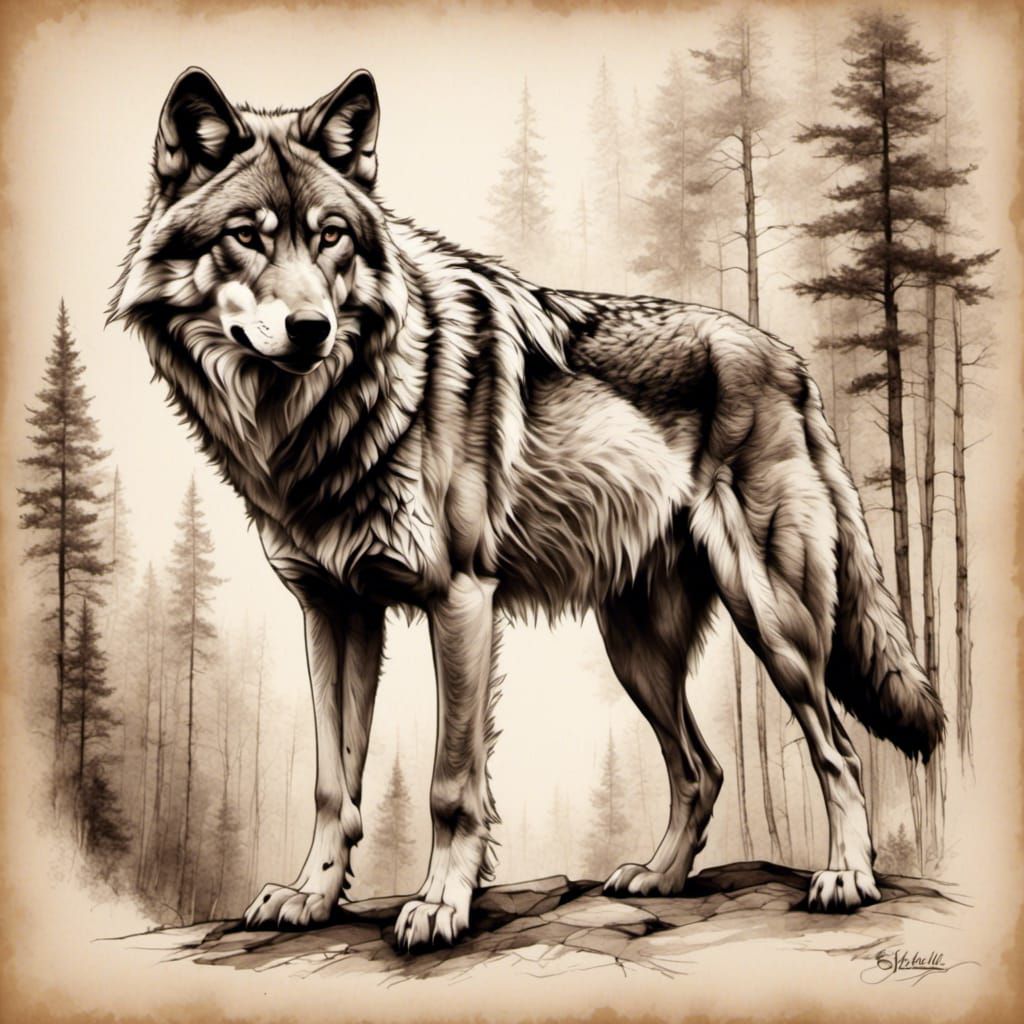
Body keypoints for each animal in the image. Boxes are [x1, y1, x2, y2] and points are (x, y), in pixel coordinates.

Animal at [111, 67, 943, 950]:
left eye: (330, 236)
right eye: (247, 235)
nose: (312, 328)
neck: (324, 417)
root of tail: (791, 360)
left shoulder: (461, 601)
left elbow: (450, 783)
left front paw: (441, 906)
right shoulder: (334, 611)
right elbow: (334, 785)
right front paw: (312, 897)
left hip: (774, 623)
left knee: (839, 751)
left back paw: (846, 879)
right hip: (637, 650)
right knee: (703, 768)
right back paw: (660, 879)